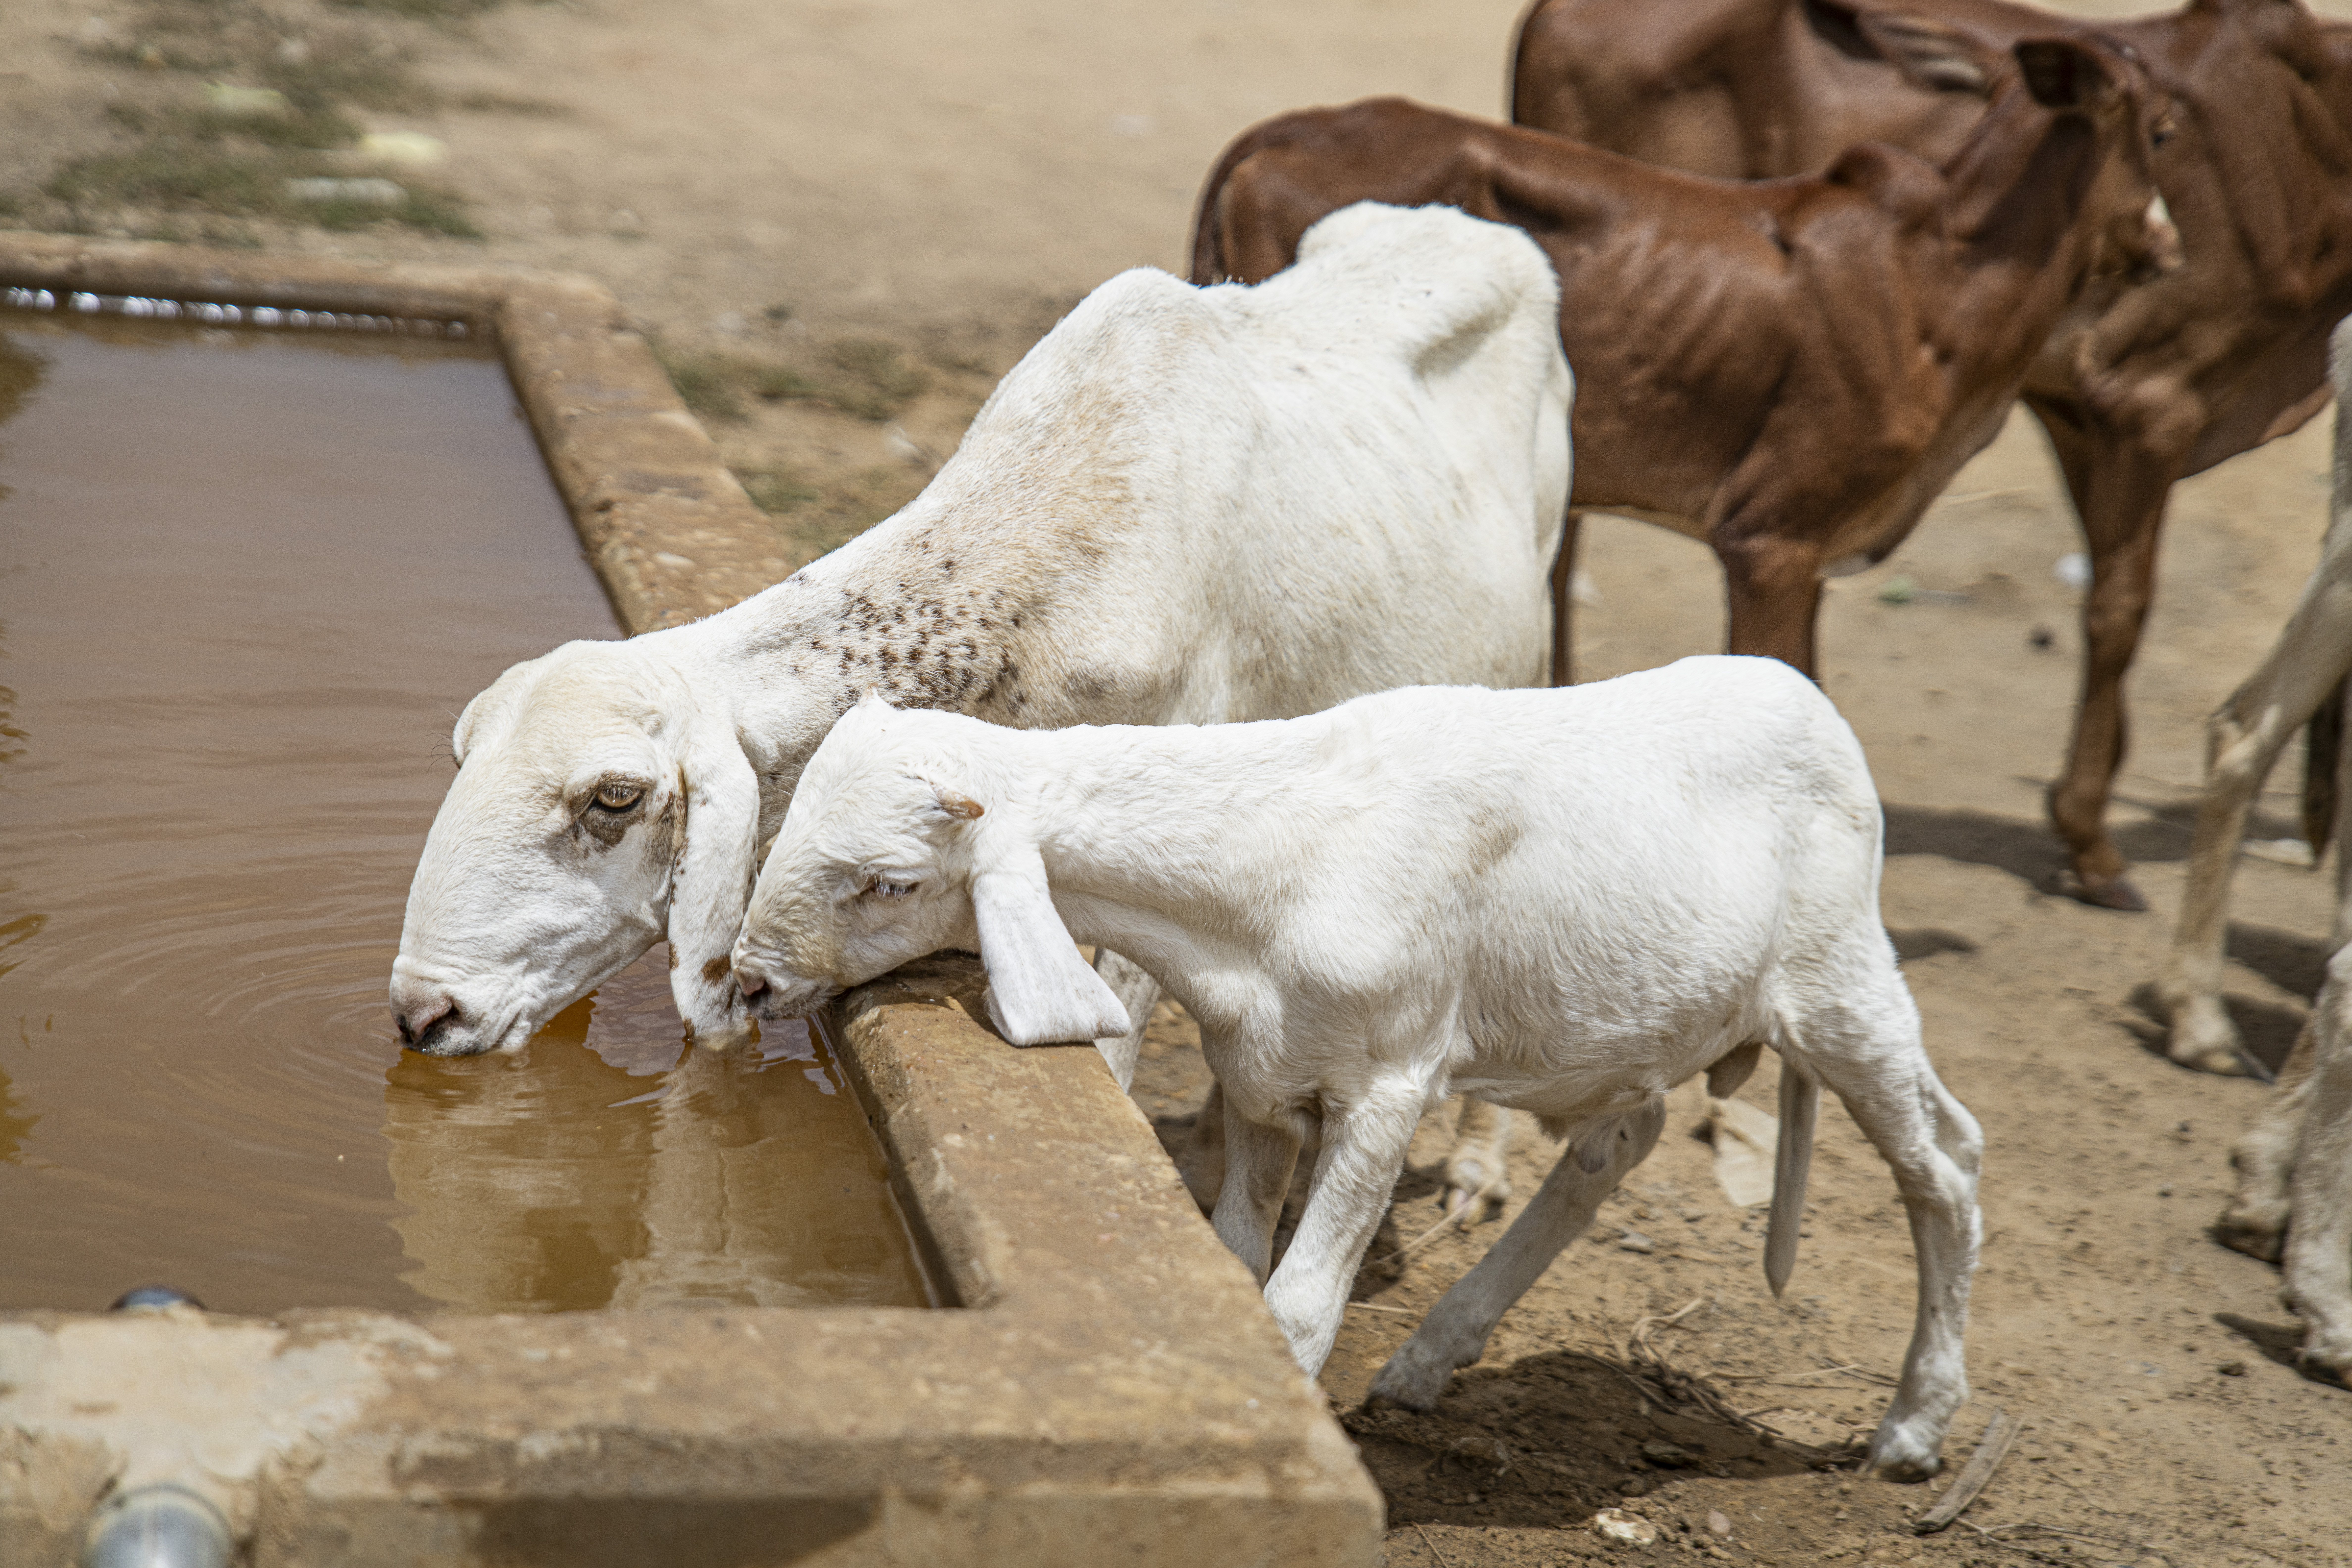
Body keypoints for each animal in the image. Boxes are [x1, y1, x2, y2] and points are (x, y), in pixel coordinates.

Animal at [731, 661, 1985, 1479]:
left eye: (888, 882)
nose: (744, 981)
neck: (1267, 862)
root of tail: (1805, 693)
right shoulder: (1256, 1072)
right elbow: (1236, 1262)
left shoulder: (1390, 1081)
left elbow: (1294, 1303)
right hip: (1621, 1020)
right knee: (1617, 1141)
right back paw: (1433, 1355)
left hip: (1839, 982)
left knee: (1947, 1164)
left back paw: (1915, 1429)